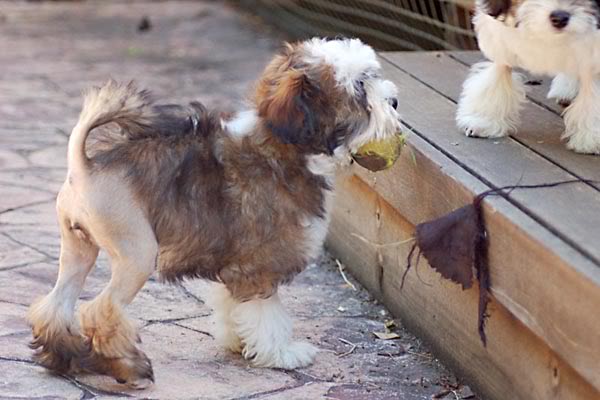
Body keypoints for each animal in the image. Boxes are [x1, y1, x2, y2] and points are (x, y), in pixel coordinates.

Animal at [28, 37, 404, 388]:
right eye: (361, 87)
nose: (394, 101)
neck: (281, 147)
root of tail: (85, 166)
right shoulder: (258, 265)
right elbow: (268, 313)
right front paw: (281, 353)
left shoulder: (235, 262)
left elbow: (232, 303)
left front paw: (239, 341)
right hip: (136, 253)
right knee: (100, 310)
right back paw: (127, 365)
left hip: (78, 249)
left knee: (57, 303)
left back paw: (65, 356)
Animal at [454, 0, 600, 154]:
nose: (560, 18)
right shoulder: (499, 37)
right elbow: (496, 78)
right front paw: (482, 120)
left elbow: (592, 91)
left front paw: (591, 137)